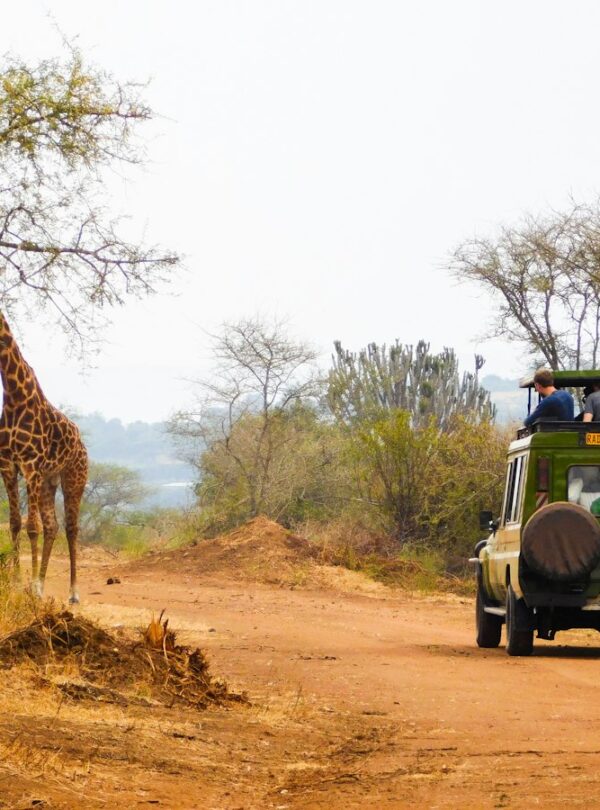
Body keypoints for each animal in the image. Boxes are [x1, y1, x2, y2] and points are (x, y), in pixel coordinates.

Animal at [0, 312, 88, 603]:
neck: (13, 395)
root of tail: (82, 444)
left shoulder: (31, 466)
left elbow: (31, 528)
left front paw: (31, 586)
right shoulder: (8, 465)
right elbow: (15, 524)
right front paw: (17, 582)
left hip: (74, 480)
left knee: (71, 528)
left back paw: (73, 592)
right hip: (49, 482)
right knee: (53, 527)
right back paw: (41, 583)